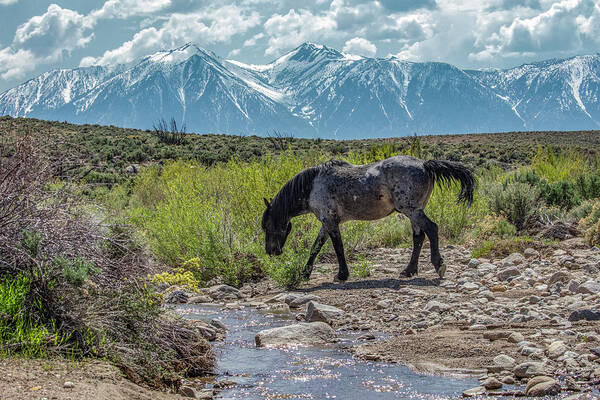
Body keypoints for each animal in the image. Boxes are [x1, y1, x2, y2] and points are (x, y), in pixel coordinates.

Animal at [260, 155, 476, 282]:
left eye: (268, 225)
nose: (271, 251)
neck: (313, 185)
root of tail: (424, 164)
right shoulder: (326, 222)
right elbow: (316, 247)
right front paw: (305, 274)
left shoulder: (330, 221)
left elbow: (337, 247)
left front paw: (342, 274)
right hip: (413, 211)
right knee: (418, 237)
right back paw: (409, 270)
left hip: (411, 210)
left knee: (432, 229)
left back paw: (439, 265)